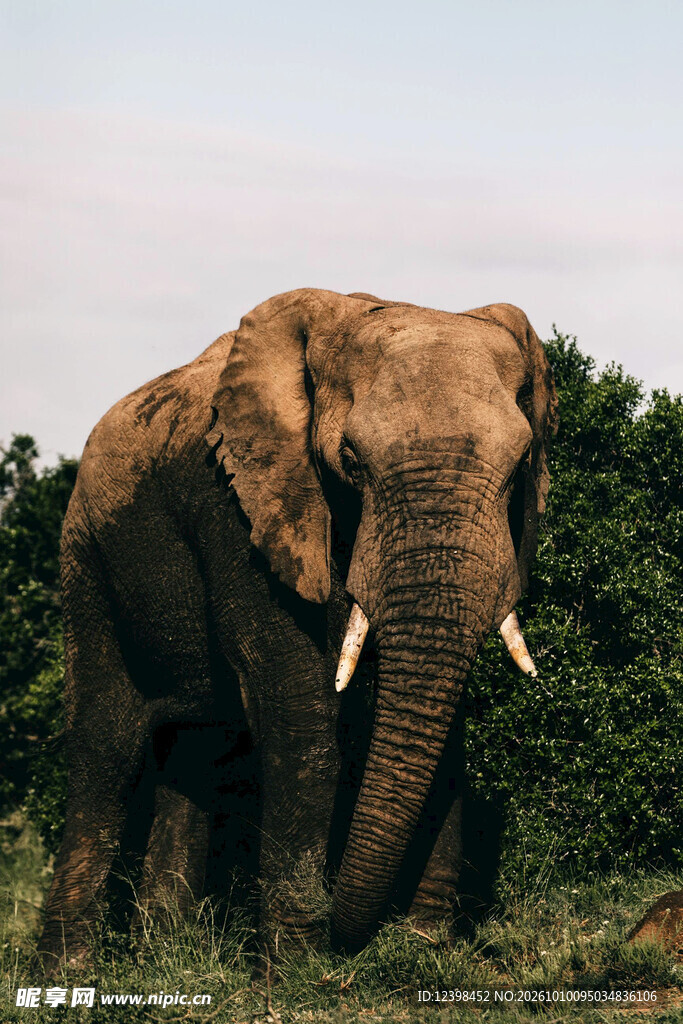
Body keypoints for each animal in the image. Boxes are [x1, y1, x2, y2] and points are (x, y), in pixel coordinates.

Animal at [38, 287, 557, 969]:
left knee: (197, 751)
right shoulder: (237, 505)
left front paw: (422, 951)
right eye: (351, 462)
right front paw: (298, 972)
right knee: (106, 749)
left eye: (521, 464)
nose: (361, 938)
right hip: (86, 556)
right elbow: (301, 714)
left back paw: (166, 955)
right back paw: (70, 973)